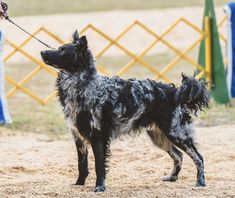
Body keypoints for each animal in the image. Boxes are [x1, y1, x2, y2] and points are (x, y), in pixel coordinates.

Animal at [40, 30, 209, 192]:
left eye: (62, 51)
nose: (42, 52)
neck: (83, 86)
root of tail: (175, 92)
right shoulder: (79, 137)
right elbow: (82, 165)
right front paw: (79, 184)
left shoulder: (98, 137)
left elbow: (99, 166)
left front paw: (99, 187)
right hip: (159, 136)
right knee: (178, 156)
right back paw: (172, 177)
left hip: (177, 133)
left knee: (198, 157)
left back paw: (200, 182)